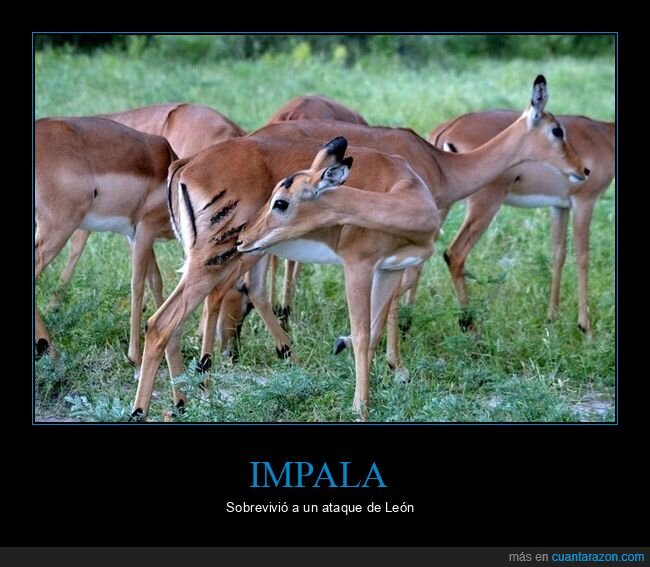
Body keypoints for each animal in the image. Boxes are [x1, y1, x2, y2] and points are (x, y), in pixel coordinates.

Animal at [35, 117, 177, 365]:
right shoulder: (146, 229)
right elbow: (138, 284)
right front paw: (134, 357)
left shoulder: (134, 235)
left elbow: (155, 282)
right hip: (58, 230)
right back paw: (52, 352)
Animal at [130, 75, 588, 421]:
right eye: (557, 129)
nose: (582, 169)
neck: (436, 168)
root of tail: (184, 165)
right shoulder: (369, 262)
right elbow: (388, 310)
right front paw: (391, 369)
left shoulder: (387, 262)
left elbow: (383, 310)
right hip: (223, 255)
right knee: (169, 319)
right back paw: (156, 402)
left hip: (235, 254)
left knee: (204, 309)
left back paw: (191, 395)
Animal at [428, 111, 614, 335]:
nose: (584, 171)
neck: (604, 134)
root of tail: (449, 127)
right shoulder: (585, 202)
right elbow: (583, 257)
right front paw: (585, 328)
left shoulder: (560, 207)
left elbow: (558, 254)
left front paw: (551, 318)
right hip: (484, 203)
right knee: (454, 254)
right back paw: (468, 325)